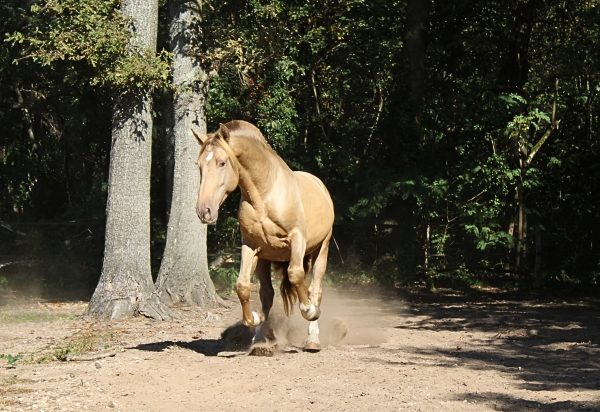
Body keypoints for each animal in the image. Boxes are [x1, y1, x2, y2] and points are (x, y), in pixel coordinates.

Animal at [192, 119, 336, 350]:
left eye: (222, 163)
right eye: (199, 166)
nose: (204, 211)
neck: (265, 195)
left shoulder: (297, 239)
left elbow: (296, 276)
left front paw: (309, 311)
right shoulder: (250, 245)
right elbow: (242, 286)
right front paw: (255, 318)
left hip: (321, 248)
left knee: (315, 289)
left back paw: (312, 338)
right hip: (264, 259)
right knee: (267, 293)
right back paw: (259, 340)